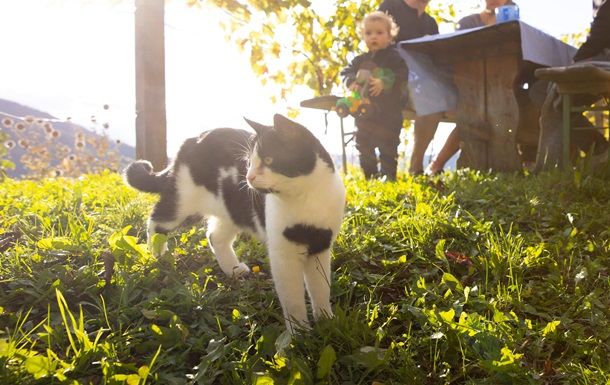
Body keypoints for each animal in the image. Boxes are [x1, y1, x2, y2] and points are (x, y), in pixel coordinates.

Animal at [122, 112, 346, 332]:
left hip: (231, 212)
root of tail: (192, 140)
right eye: (249, 162)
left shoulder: (320, 244)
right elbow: (293, 300)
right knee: (156, 220)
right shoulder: (284, 253)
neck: (306, 198)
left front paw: (326, 321)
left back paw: (234, 269)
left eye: (269, 159)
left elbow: (320, 287)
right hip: (183, 202)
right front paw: (300, 333)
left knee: (214, 236)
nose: (248, 176)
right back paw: (158, 256)